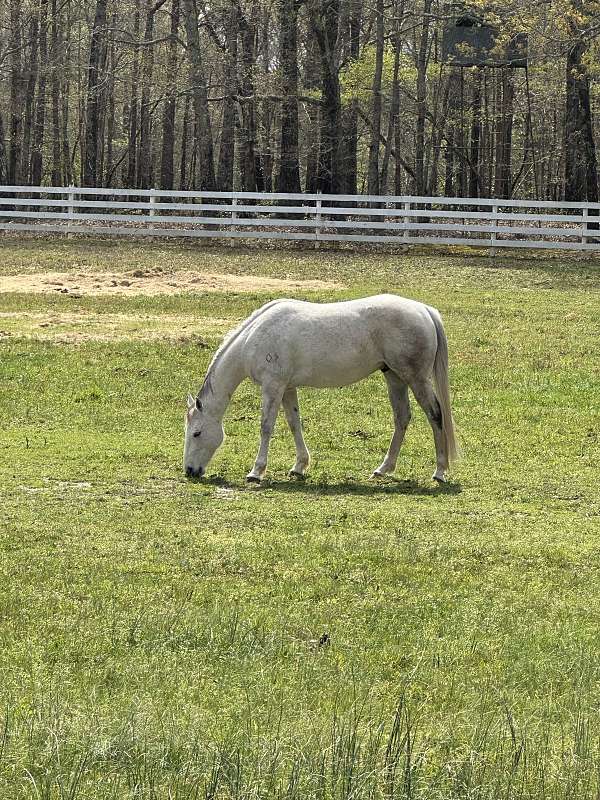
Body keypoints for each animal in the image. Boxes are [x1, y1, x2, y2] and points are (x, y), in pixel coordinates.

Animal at [184, 294, 458, 483]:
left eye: (197, 433)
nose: (189, 471)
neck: (255, 337)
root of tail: (424, 310)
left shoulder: (273, 386)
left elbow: (266, 427)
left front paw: (256, 471)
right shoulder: (287, 388)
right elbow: (294, 423)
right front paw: (299, 466)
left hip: (416, 379)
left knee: (436, 416)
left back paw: (439, 471)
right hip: (394, 377)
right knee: (402, 418)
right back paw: (383, 469)